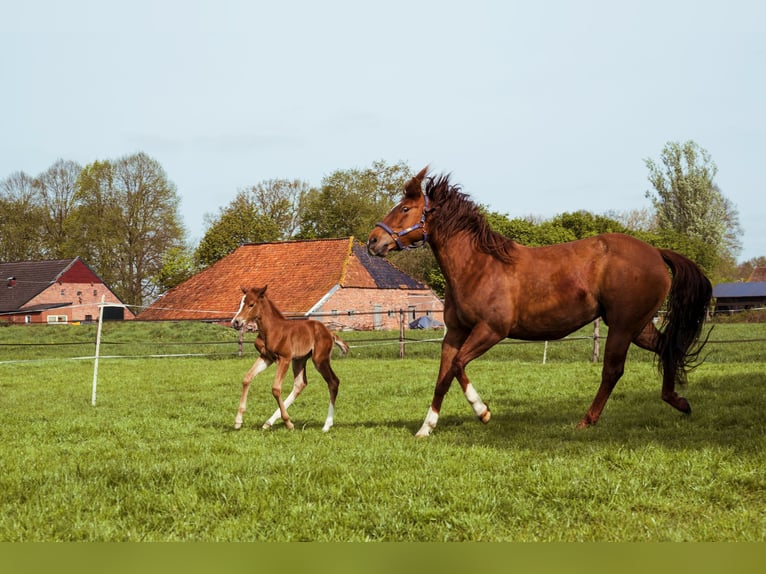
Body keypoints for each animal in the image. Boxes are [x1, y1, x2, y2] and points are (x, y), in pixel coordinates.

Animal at [230, 285, 349, 432]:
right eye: (240, 304)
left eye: (251, 304)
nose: (236, 322)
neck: (272, 330)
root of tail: (330, 333)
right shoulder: (266, 357)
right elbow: (247, 378)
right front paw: (238, 421)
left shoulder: (284, 358)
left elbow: (276, 388)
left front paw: (288, 423)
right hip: (299, 360)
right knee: (300, 384)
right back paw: (268, 422)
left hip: (319, 359)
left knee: (333, 382)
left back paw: (327, 425)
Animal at [367, 167, 712, 437]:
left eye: (404, 209)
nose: (373, 241)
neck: (478, 266)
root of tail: (655, 252)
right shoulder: (455, 332)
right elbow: (443, 377)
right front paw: (426, 428)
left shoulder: (491, 330)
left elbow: (457, 365)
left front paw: (483, 412)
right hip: (638, 326)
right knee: (667, 347)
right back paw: (678, 401)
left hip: (623, 327)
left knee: (613, 370)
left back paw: (586, 421)